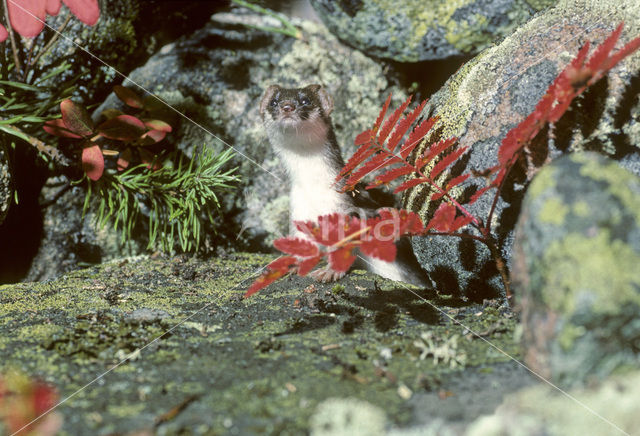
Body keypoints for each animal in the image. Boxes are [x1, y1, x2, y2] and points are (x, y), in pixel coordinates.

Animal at [258, 83, 430, 288]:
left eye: (305, 100)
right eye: (273, 102)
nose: (287, 106)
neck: (313, 187)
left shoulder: (343, 205)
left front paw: (329, 272)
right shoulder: (299, 209)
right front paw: (288, 264)